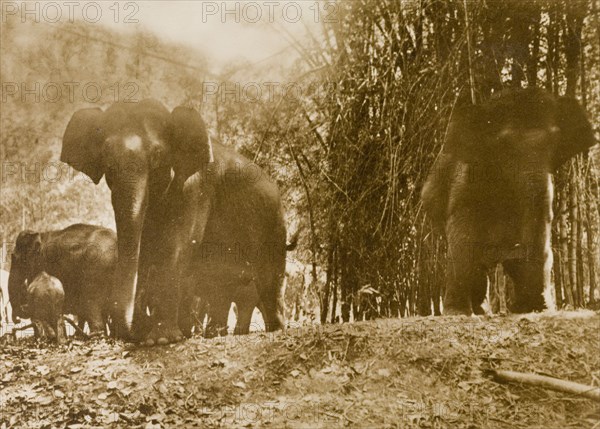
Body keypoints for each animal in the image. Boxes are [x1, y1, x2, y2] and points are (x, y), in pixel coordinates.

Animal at [59, 99, 290, 344]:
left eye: (157, 155)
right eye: (105, 158)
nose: (135, 331)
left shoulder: (195, 187)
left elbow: (177, 246)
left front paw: (160, 339)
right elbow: (147, 247)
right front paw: (148, 335)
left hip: (273, 222)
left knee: (269, 279)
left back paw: (275, 329)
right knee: (221, 285)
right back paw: (215, 333)